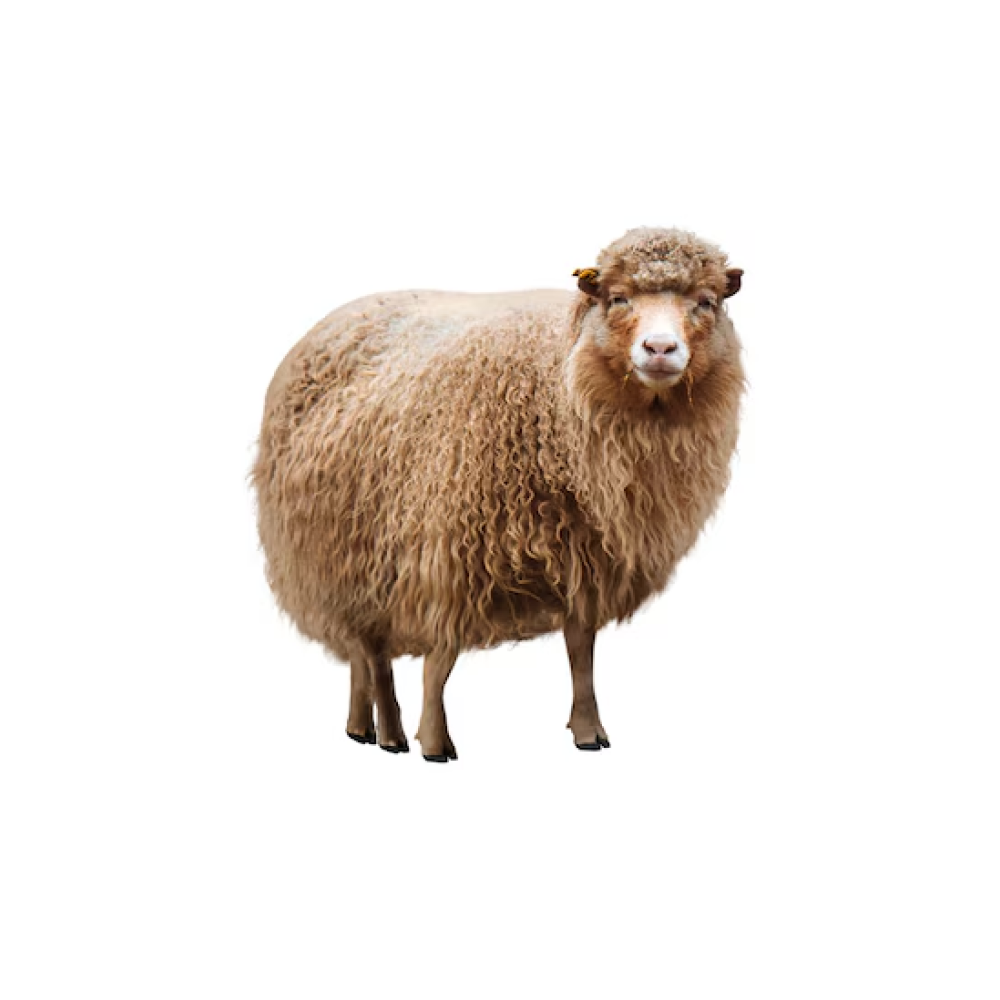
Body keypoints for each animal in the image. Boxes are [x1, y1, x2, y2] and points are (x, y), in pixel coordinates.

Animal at [253, 227, 745, 761]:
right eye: (617, 298)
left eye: (706, 302)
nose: (659, 348)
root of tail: (336, 317)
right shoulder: (448, 547)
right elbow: (440, 657)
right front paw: (435, 741)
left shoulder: (583, 553)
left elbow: (581, 650)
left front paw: (588, 729)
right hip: (347, 551)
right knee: (373, 652)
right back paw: (391, 733)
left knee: (363, 654)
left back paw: (361, 725)